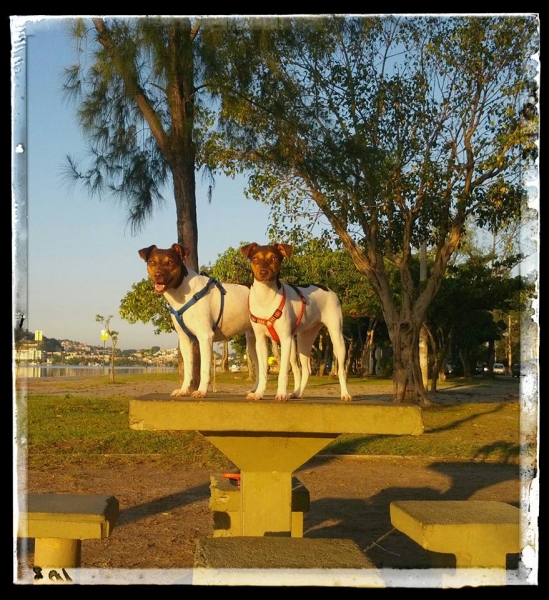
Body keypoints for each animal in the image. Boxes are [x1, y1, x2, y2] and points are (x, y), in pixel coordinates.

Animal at [137, 244, 256, 398]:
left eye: (170, 262)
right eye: (152, 262)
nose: (158, 275)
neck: (183, 291)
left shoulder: (205, 337)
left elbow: (204, 368)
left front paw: (201, 391)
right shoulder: (185, 340)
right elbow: (188, 369)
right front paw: (183, 390)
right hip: (253, 341)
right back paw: (255, 391)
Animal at [240, 243, 352, 404]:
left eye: (274, 258)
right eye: (255, 258)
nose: (263, 272)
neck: (266, 296)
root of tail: (327, 289)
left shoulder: (286, 339)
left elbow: (283, 373)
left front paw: (281, 393)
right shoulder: (260, 339)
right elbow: (263, 371)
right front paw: (259, 393)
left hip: (336, 336)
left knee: (341, 370)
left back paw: (345, 394)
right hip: (304, 340)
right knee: (306, 370)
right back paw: (296, 393)